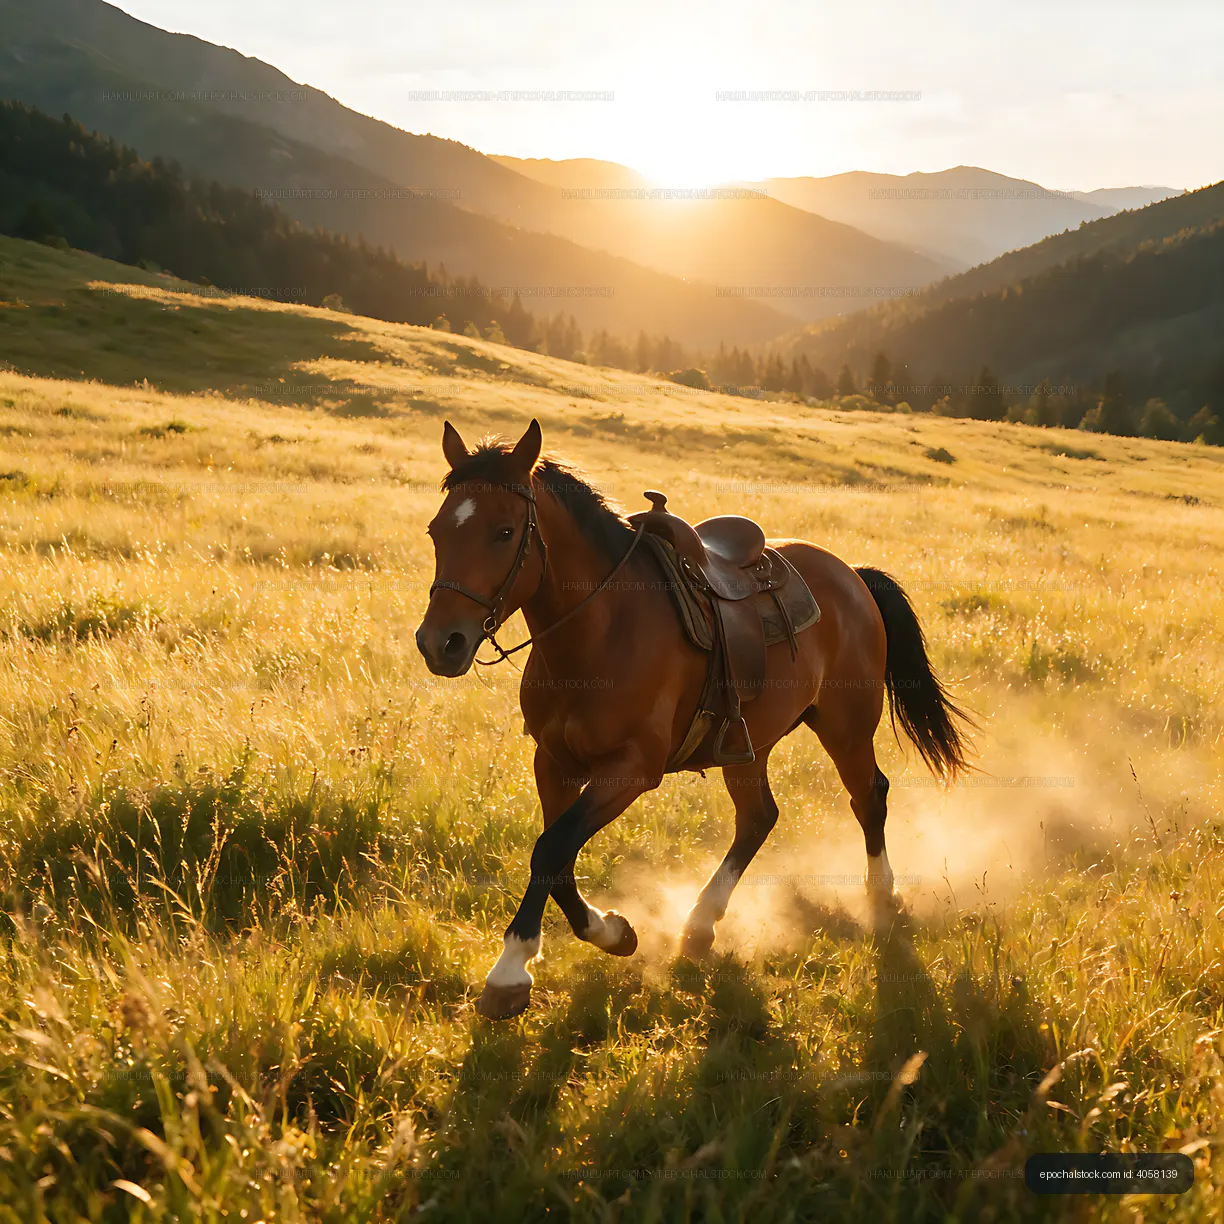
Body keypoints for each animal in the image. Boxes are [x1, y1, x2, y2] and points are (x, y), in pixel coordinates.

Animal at [415, 419, 974, 1019]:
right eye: (435, 531)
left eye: (503, 531)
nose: (439, 643)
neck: (602, 629)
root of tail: (852, 575)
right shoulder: (554, 761)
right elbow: (557, 856)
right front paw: (613, 932)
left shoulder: (633, 769)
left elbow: (552, 847)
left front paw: (511, 969)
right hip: (748, 745)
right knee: (759, 818)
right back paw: (702, 924)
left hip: (846, 727)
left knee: (868, 796)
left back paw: (882, 896)